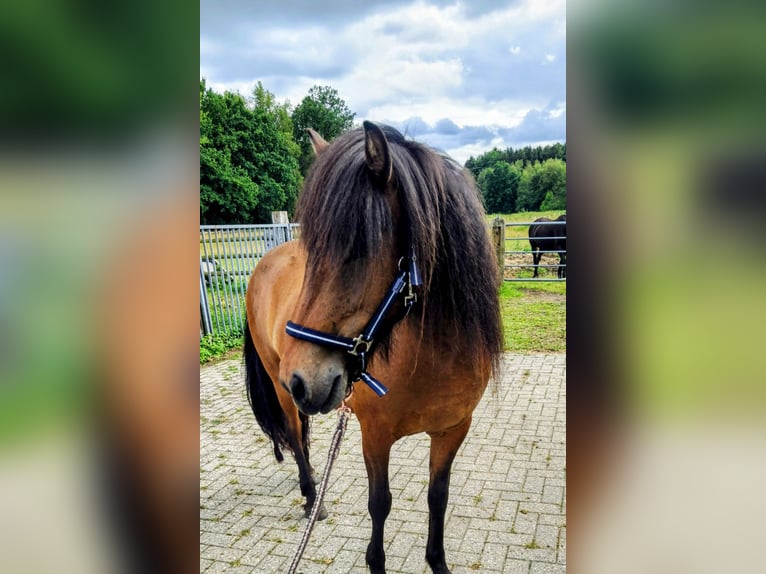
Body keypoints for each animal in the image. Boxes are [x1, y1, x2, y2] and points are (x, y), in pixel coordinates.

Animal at [243, 121, 502, 574]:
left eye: (360, 249)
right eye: (313, 255)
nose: (304, 379)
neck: (431, 358)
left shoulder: (453, 429)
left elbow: (438, 497)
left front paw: (437, 562)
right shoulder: (374, 435)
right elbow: (379, 504)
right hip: (280, 386)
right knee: (294, 432)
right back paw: (312, 498)